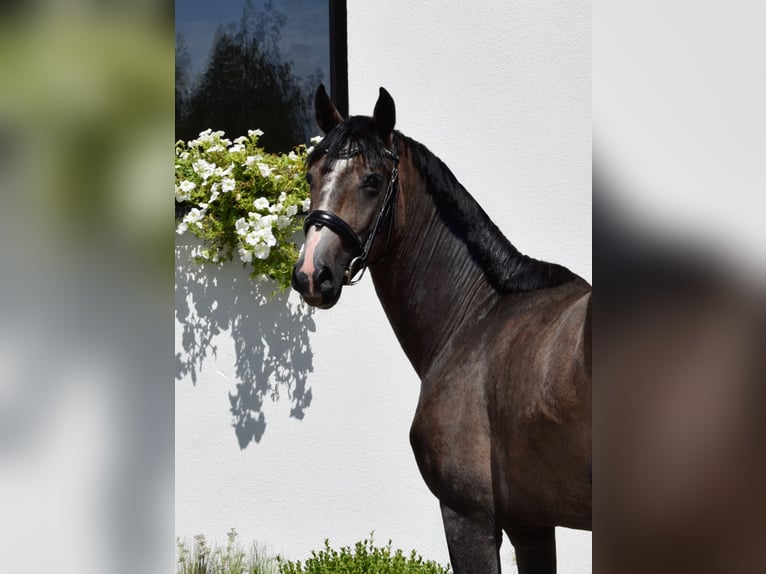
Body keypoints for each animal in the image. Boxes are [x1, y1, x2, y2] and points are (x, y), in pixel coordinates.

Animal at [294, 85, 592, 574]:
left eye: (372, 181)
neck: (477, 317)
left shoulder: (468, 517)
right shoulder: (531, 525)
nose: (310, 275)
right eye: (311, 174)